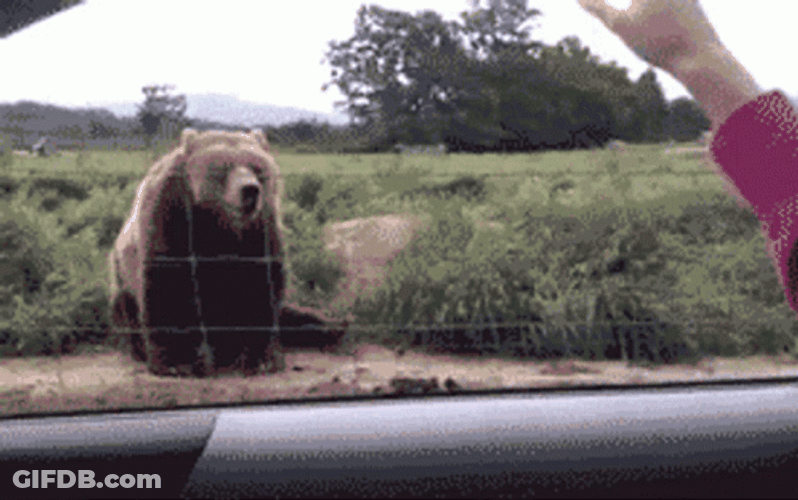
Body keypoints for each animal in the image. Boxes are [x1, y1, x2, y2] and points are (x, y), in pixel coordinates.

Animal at [109, 128, 344, 376]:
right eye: (222, 167)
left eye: (256, 167)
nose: (250, 190)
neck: (220, 224)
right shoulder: (170, 215)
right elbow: (169, 284)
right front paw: (178, 363)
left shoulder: (259, 229)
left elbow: (261, 286)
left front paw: (260, 359)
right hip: (121, 277)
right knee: (129, 309)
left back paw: (334, 325)